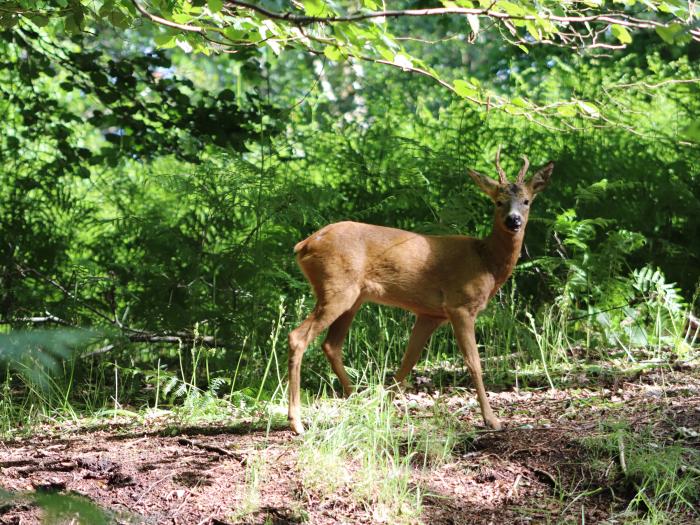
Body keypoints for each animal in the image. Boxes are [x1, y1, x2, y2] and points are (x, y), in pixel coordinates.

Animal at [286, 148, 552, 434]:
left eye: (526, 201)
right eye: (498, 202)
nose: (514, 220)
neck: (486, 262)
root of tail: (304, 245)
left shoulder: (430, 314)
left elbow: (408, 361)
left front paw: (384, 409)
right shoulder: (460, 305)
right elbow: (474, 362)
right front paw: (491, 419)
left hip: (352, 298)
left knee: (331, 345)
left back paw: (355, 397)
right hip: (336, 288)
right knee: (297, 337)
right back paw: (297, 421)